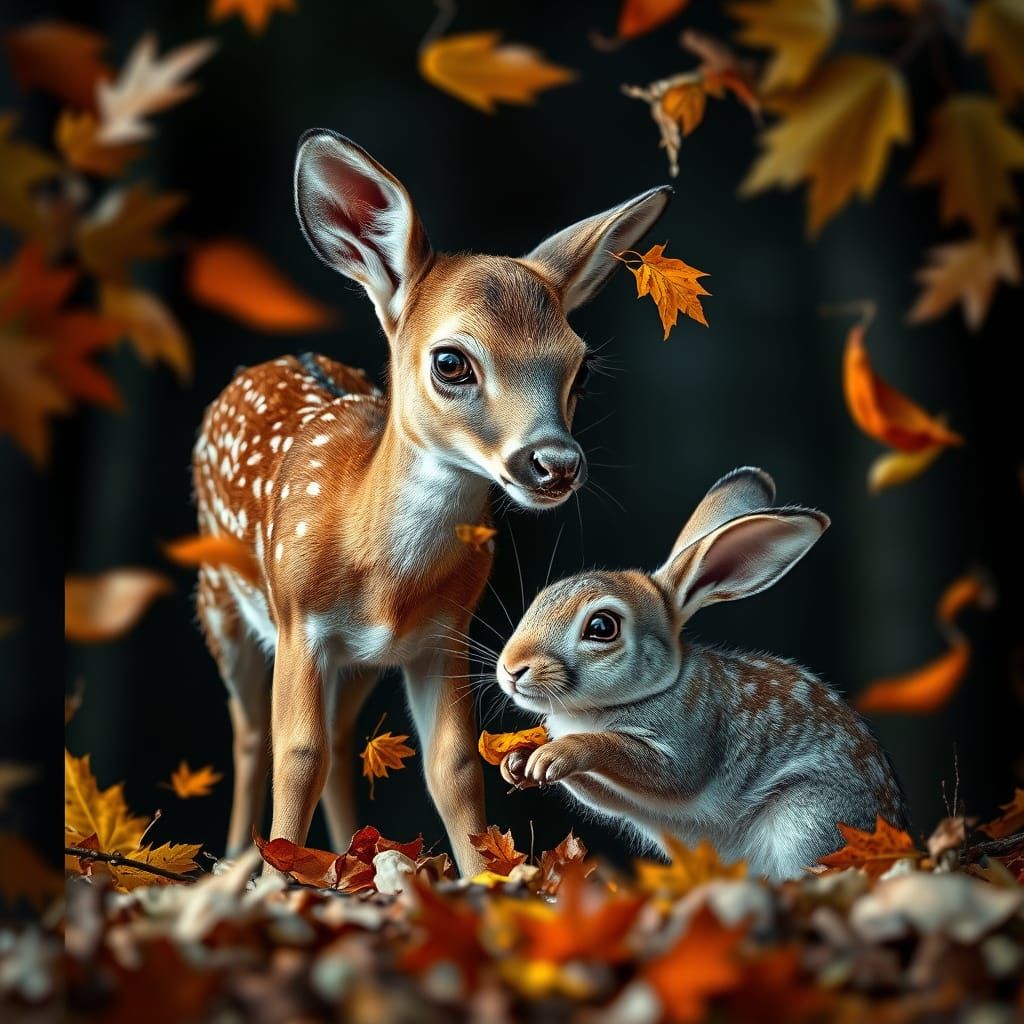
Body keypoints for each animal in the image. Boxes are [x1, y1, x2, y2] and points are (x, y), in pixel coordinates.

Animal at [192, 129, 671, 875]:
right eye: (451, 361)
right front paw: (277, 878)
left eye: (582, 367)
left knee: (339, 741)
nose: (555, 463)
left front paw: (484, 881)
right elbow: (295, 755)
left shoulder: (445, 632)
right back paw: (239, 862)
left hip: (359, 662)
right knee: (249, 735)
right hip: (221, 599)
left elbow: (452, 767)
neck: (381, 575)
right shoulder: (300, 621)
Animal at [495, 467, 908, 881]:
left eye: (601, 627)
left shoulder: (683, 746)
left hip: (806, 817)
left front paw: (554, 755)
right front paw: (517, 764)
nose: (512, 669)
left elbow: (621, 752)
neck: (656, 686)